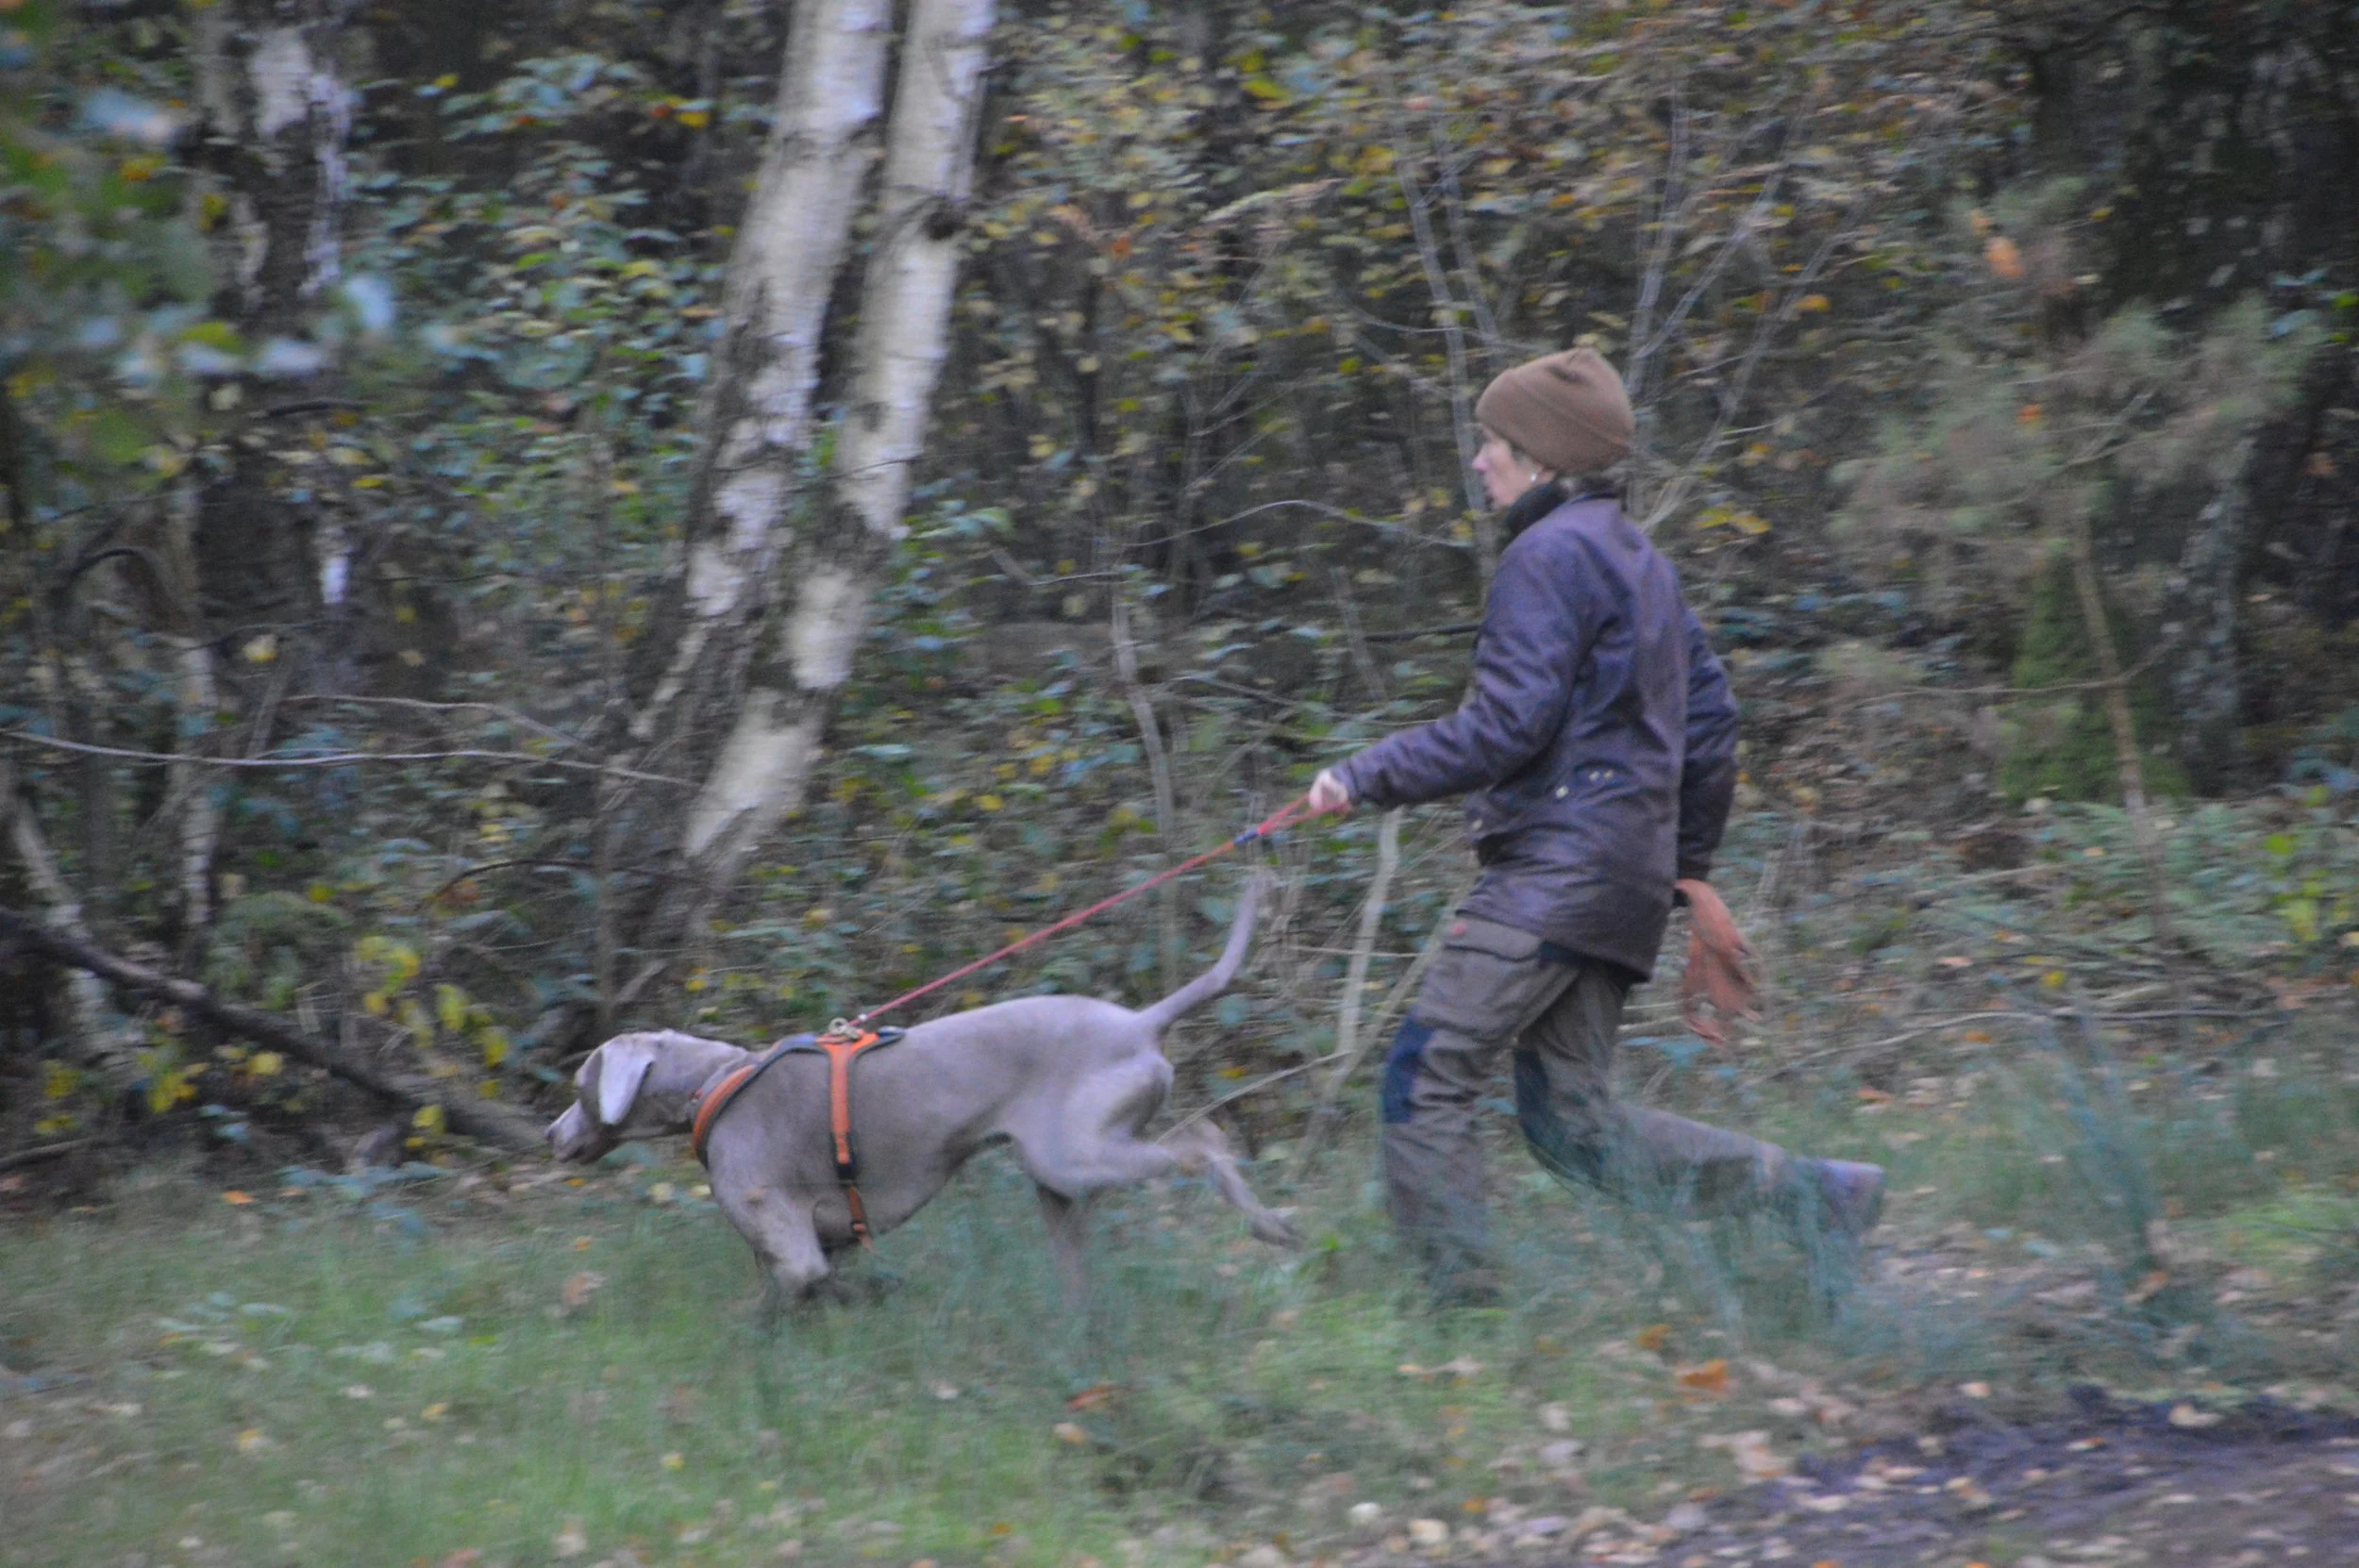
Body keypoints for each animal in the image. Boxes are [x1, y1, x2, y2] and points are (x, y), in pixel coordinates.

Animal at [545, 876, 1300, 1306]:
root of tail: (1143, 1021)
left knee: (1203, 1142)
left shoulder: (789, 1244)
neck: (712, 1084)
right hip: (1060, 1181)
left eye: (580, 1085)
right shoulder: (821, 1247)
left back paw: (1269, 1223)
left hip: (1072, 1154)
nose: (551, 1135)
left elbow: (786, 1302)